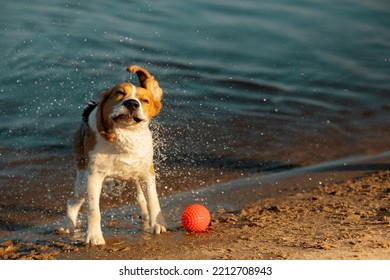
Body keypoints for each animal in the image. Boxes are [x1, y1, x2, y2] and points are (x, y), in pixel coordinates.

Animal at [63, 65, 167, 245]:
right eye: (119, 93)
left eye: (145, 100)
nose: (132, 103)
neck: (124, 137)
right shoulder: (94, 176)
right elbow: (94, 210)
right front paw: (94, 236)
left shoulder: (147, 172)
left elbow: (153, 199)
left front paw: (158, 224)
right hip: (83, 177)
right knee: (73, 202)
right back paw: (69, 227)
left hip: (134, 174)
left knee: (140, 196)